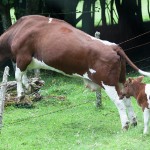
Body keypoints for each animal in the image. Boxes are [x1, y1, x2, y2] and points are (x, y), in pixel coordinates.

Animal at [0, 15, 150, 130]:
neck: (18, 29)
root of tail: (113, 46)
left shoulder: (22, 56)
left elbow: (18, 76)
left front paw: (20, 94)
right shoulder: (25, 61)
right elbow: (24, 76)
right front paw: (29, 88)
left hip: (107, 82)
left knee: (119, 101)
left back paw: (125, 125)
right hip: (121, 79)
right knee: (127, 98)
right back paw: (134, 122)